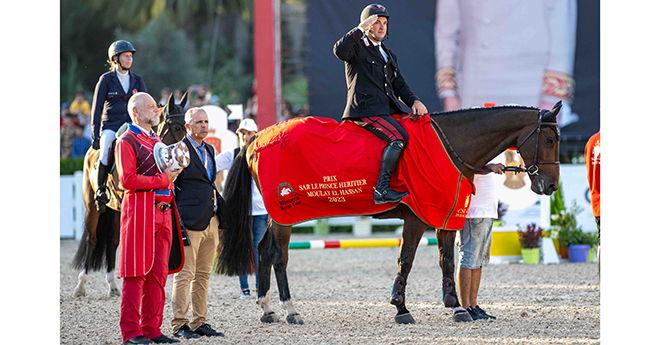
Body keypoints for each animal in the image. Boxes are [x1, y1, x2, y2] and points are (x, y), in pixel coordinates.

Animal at [72, 91, 188, 296]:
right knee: (92, 240)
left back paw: (113, 284)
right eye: (176, 127)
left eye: (187, 129)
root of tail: (91, 151)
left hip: (115, 210)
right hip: (92, 207)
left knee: (112, 241)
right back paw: (81, 285)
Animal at [219, 101, 560, 324]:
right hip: (285, 213)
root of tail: (256, 140)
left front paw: (457, 308)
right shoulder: (416, 218)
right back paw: (290, 310)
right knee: (278, 255)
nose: (551, 185)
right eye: (549, 138)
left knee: (264, 250)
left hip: (278, 215)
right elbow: (406, 260)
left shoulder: (445, 214)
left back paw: (267, 309)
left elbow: (447, 261)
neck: (450, 145)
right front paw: (401, 308)